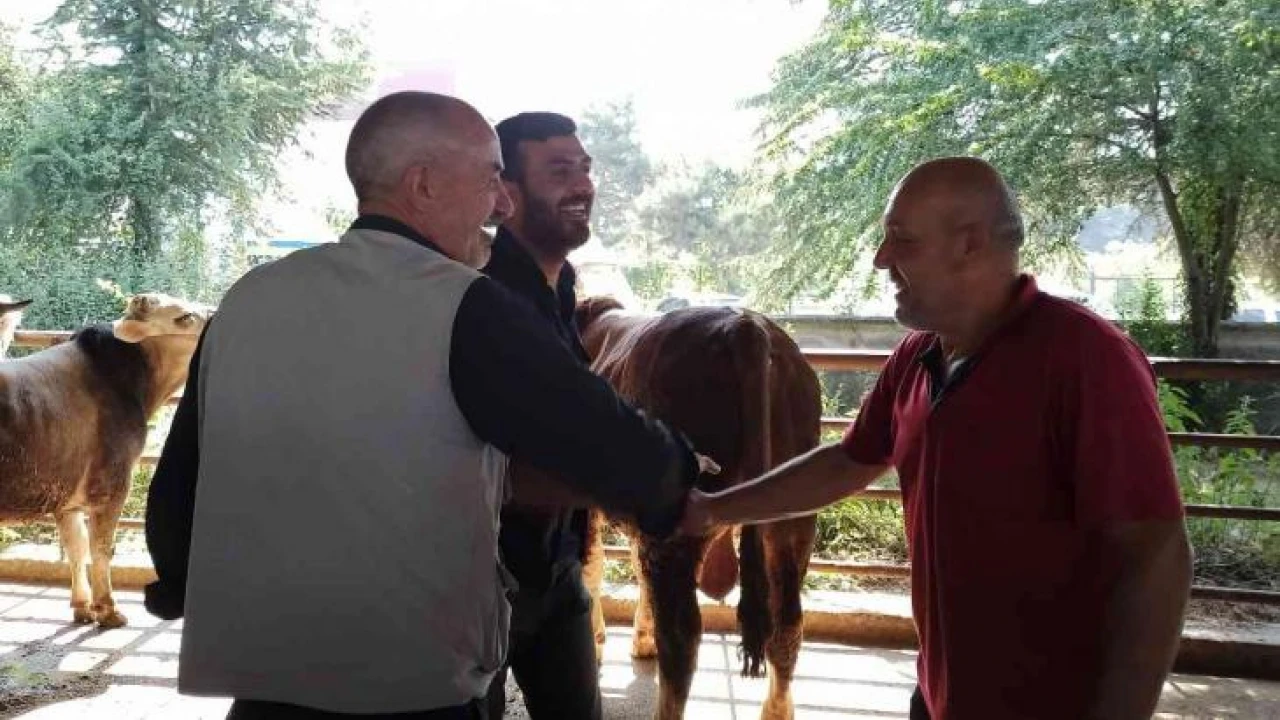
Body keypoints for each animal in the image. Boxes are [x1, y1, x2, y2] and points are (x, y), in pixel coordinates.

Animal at [0, 293, 211, 628]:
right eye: (185, 317)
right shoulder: (111, 485)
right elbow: (100, 547)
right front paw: (108, 609)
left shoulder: (66, 492)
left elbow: (76, 546)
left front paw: (82, 607)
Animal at [575, 296, 823, 720]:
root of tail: (746, 327)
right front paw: (640, 640)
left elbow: (592, 567)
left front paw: (597, 645)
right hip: (794, 523)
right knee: (787, 625)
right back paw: (776, 709)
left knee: (681, 638)